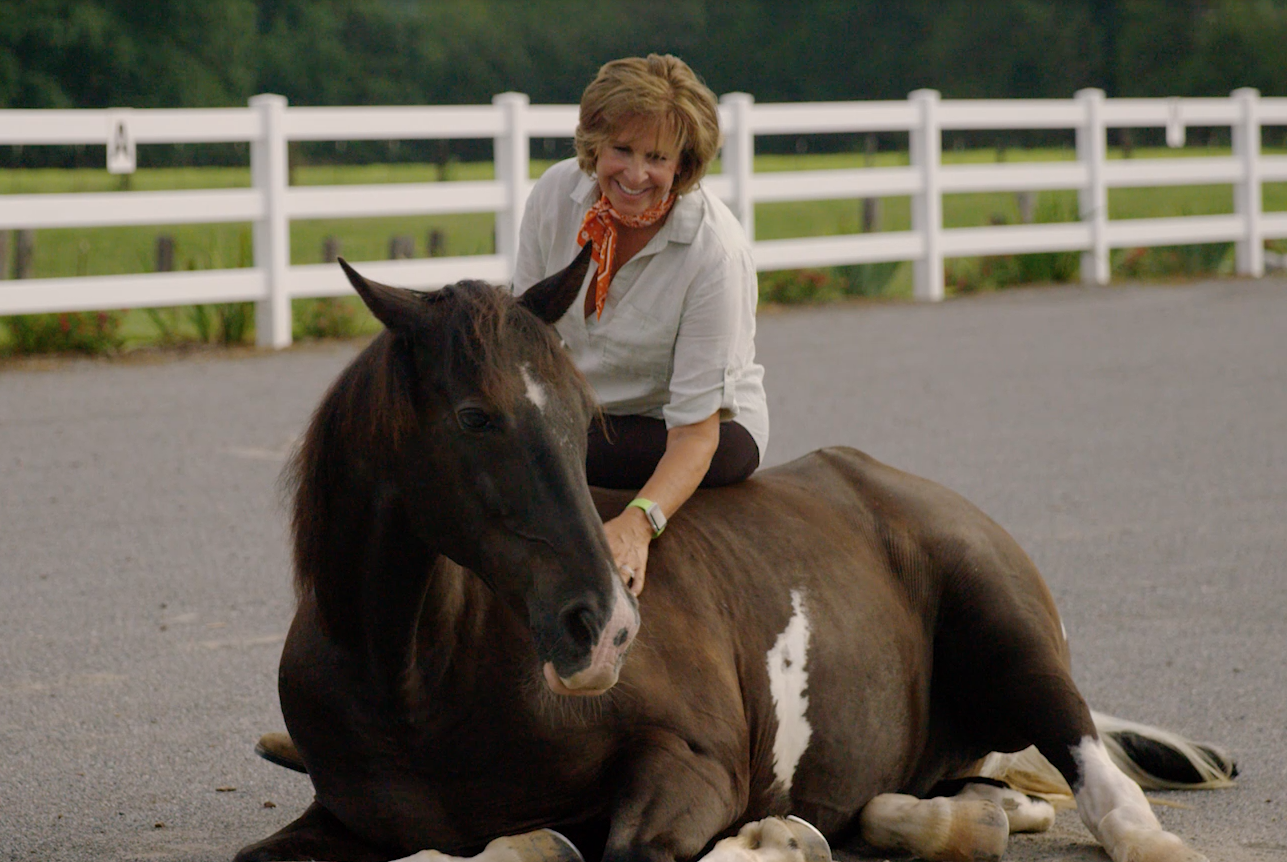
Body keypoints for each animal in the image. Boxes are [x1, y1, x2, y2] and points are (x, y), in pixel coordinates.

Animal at [235, 243, 1234, 862]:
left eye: (580, 416)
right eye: (475, 417)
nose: (603, 628)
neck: (414, 682)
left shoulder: (691, 763)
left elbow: (627, 846)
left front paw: (779, 840)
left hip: (1011, 640)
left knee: (1098, 780)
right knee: (978, 797)